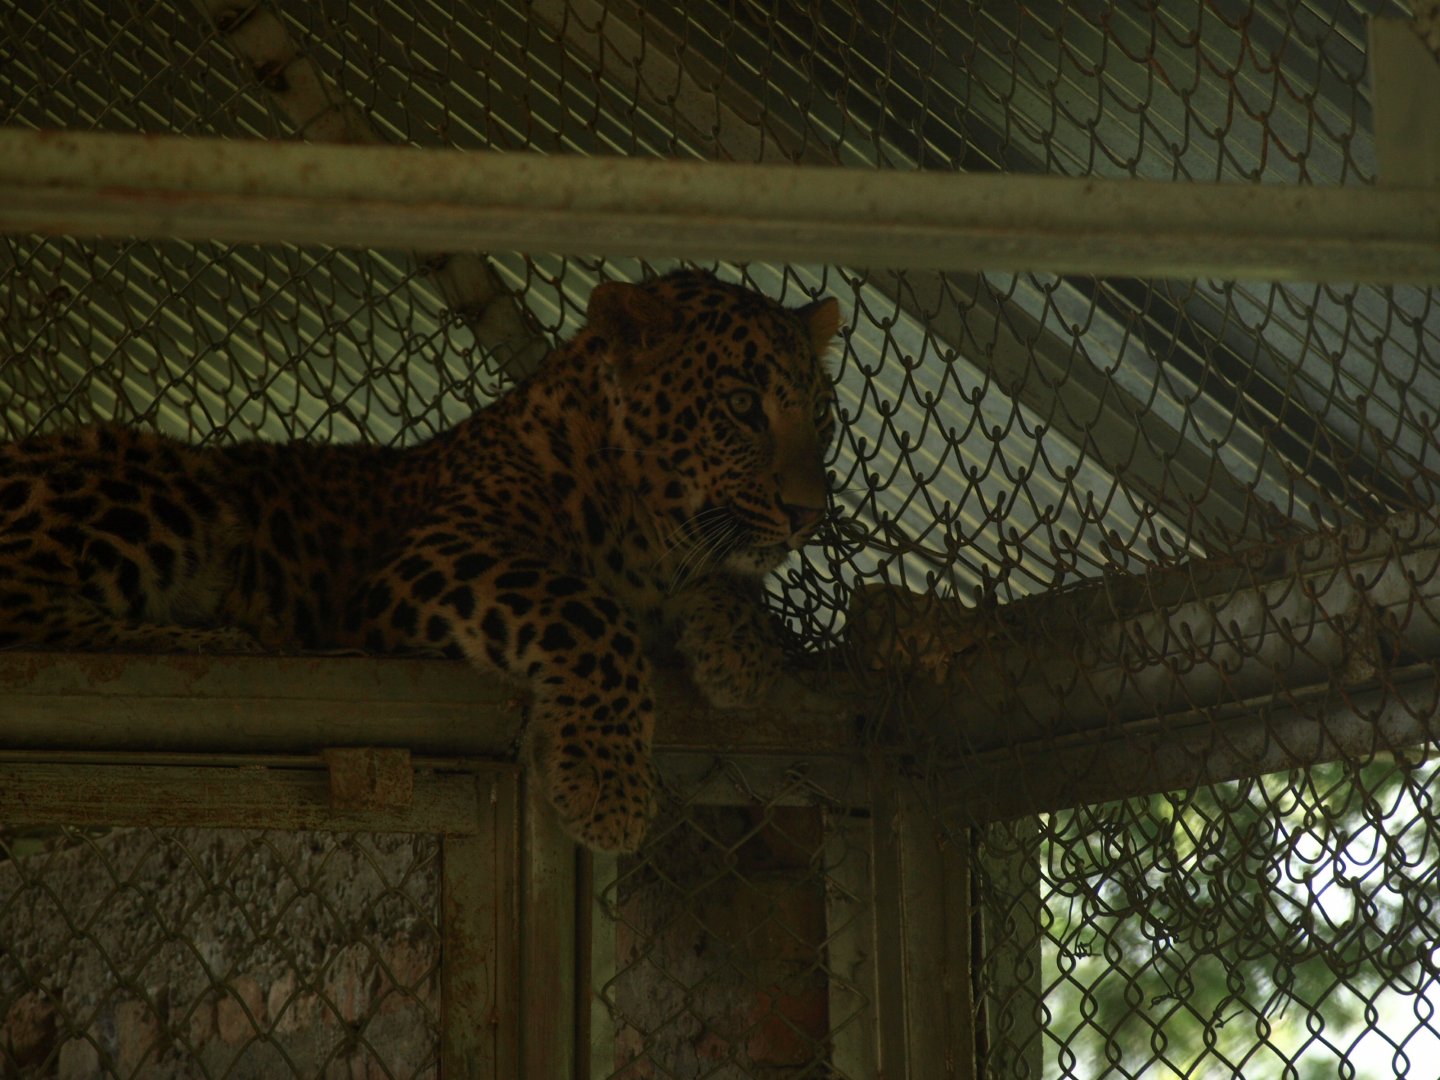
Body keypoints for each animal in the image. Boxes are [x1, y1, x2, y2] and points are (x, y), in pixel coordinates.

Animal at [0, 269, 842, 852]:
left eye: (823, 418)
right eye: (742, 406)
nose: (812, 512)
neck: (645, 537)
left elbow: (725, 578)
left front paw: (741, 650)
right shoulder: (438, 553)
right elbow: (587, 609)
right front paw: (608, 781)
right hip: (166, 484)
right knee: (29, 613)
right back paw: (219, 639)